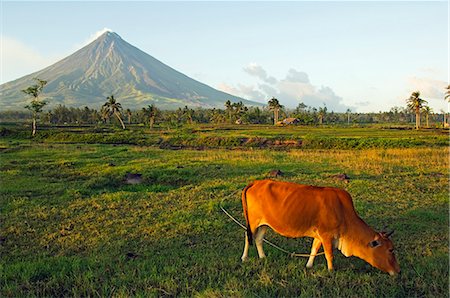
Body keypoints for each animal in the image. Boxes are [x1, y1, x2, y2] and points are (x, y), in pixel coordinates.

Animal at [241, 179, 400, 274]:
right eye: (390, 250)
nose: (398, 271)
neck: (343, 211)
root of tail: (255, 182)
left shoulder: (319, 236)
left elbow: (314, 249)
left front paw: (309, 265)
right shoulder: (327, 235)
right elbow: (329, 254)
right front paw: (331, 270)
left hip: (264, 224)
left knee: (258, 239)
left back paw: (263, 257)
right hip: (253, 222)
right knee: (248, 237)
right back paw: (244, 258)